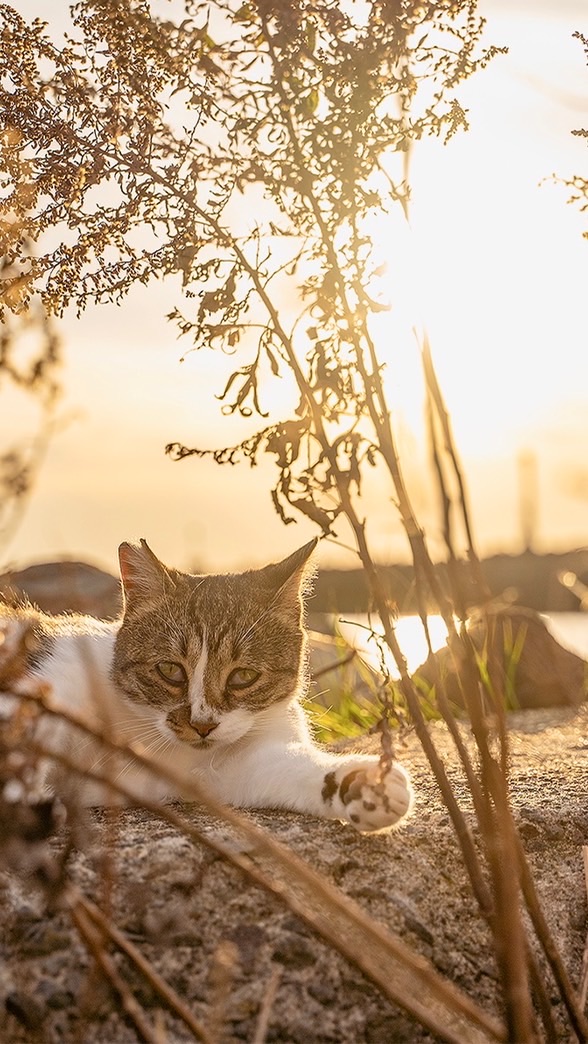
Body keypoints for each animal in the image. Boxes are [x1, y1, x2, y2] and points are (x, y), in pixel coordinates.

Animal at [0, 542, 413, 835]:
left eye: (243, 676)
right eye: (170, 670)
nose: (201, 725)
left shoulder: (227, 769)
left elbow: (283, 768)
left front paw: (363, 783)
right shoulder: (56, 675)